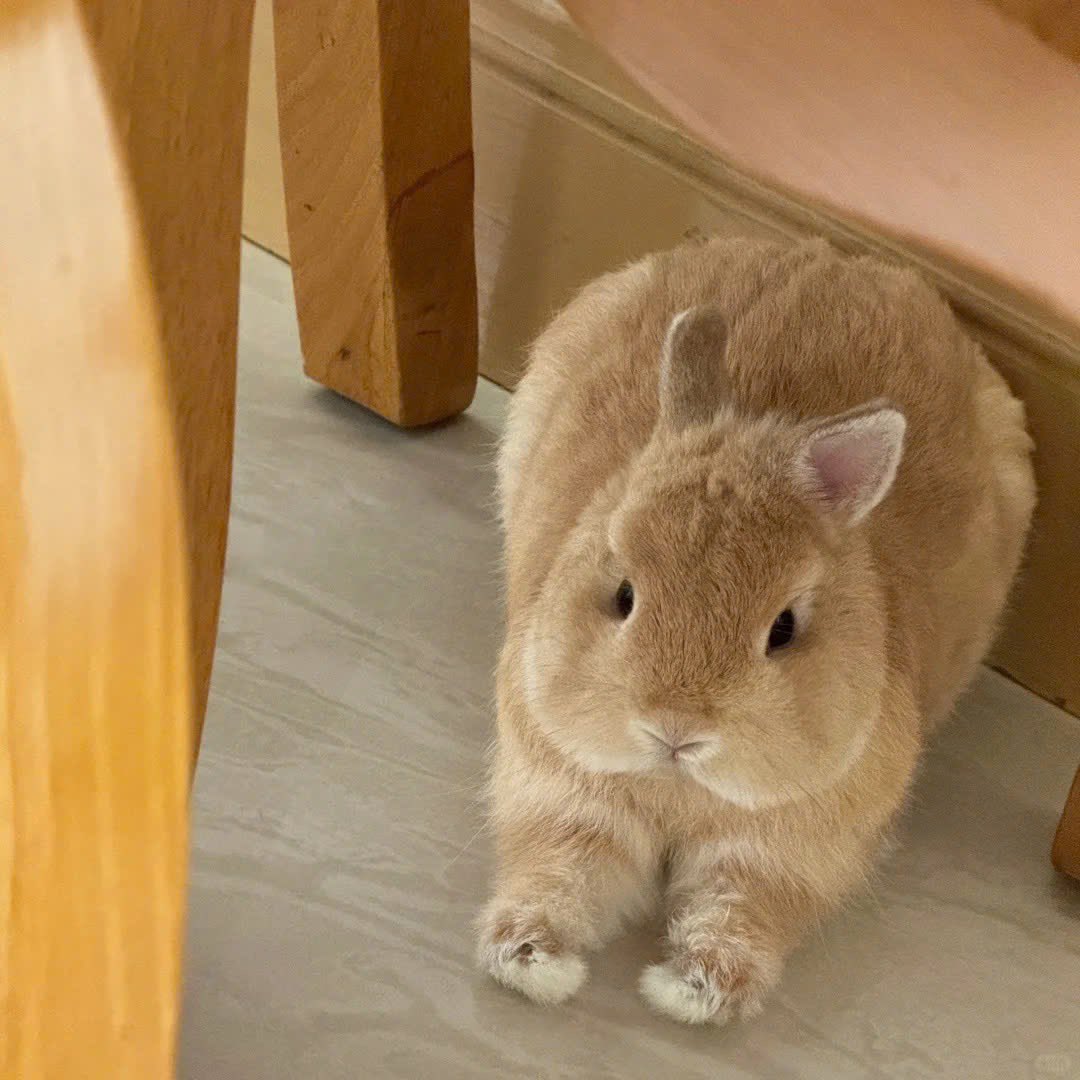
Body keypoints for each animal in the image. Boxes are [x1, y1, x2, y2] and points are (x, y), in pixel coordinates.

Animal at [477, 237, 1035, 1025]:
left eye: (784, 629)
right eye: (622, 594)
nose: (675, 729)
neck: (681, 788)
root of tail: (834, 254)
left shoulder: (777, 859)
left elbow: (738, 916)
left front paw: (688, 992)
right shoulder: (566, 802)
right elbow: (558, 875)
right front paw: (532, 963)